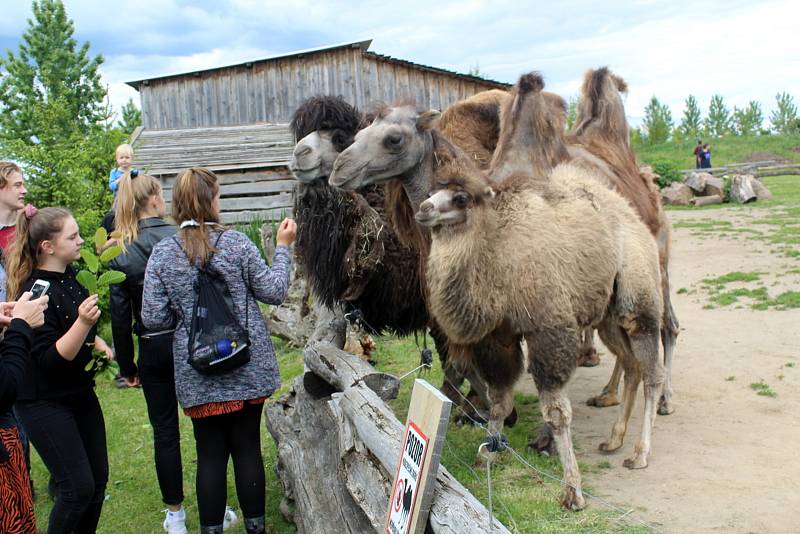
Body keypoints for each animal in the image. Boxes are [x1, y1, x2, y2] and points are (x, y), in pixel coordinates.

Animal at [416, 76, 664, 510]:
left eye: (461, 197)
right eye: (434, 189)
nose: (423, 209)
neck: (496, 255)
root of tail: (634, 215)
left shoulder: (549, 327)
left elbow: (557, 412)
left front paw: (572, 490)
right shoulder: (496, 338)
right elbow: (499, 398)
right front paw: (488, 453)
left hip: (638, 291)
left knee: (651, 369)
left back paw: (639, 453)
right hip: (605, 310)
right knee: (631, 364)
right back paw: (614, 440)